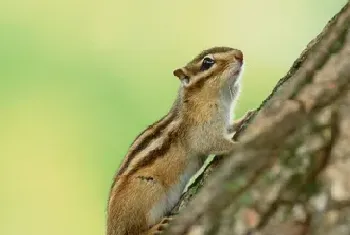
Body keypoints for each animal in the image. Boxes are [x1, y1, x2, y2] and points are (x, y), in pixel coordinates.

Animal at [106, 46, 249, 234]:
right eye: (207, 62)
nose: (240, 54)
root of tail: (111, 229)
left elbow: (229, 127)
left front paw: (246, 117)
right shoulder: (202, 130)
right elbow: (215, 143)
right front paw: (241, 144)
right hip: (149, 188)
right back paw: (155, 228)